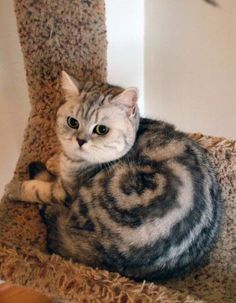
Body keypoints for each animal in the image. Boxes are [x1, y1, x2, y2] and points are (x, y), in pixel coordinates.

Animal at [6, 72, 223, 282]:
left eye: (101, 129)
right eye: (72, 122)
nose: (80, 141)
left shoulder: (66, 192)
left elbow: (39, 189)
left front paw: (14, 187)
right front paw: (53, 160)